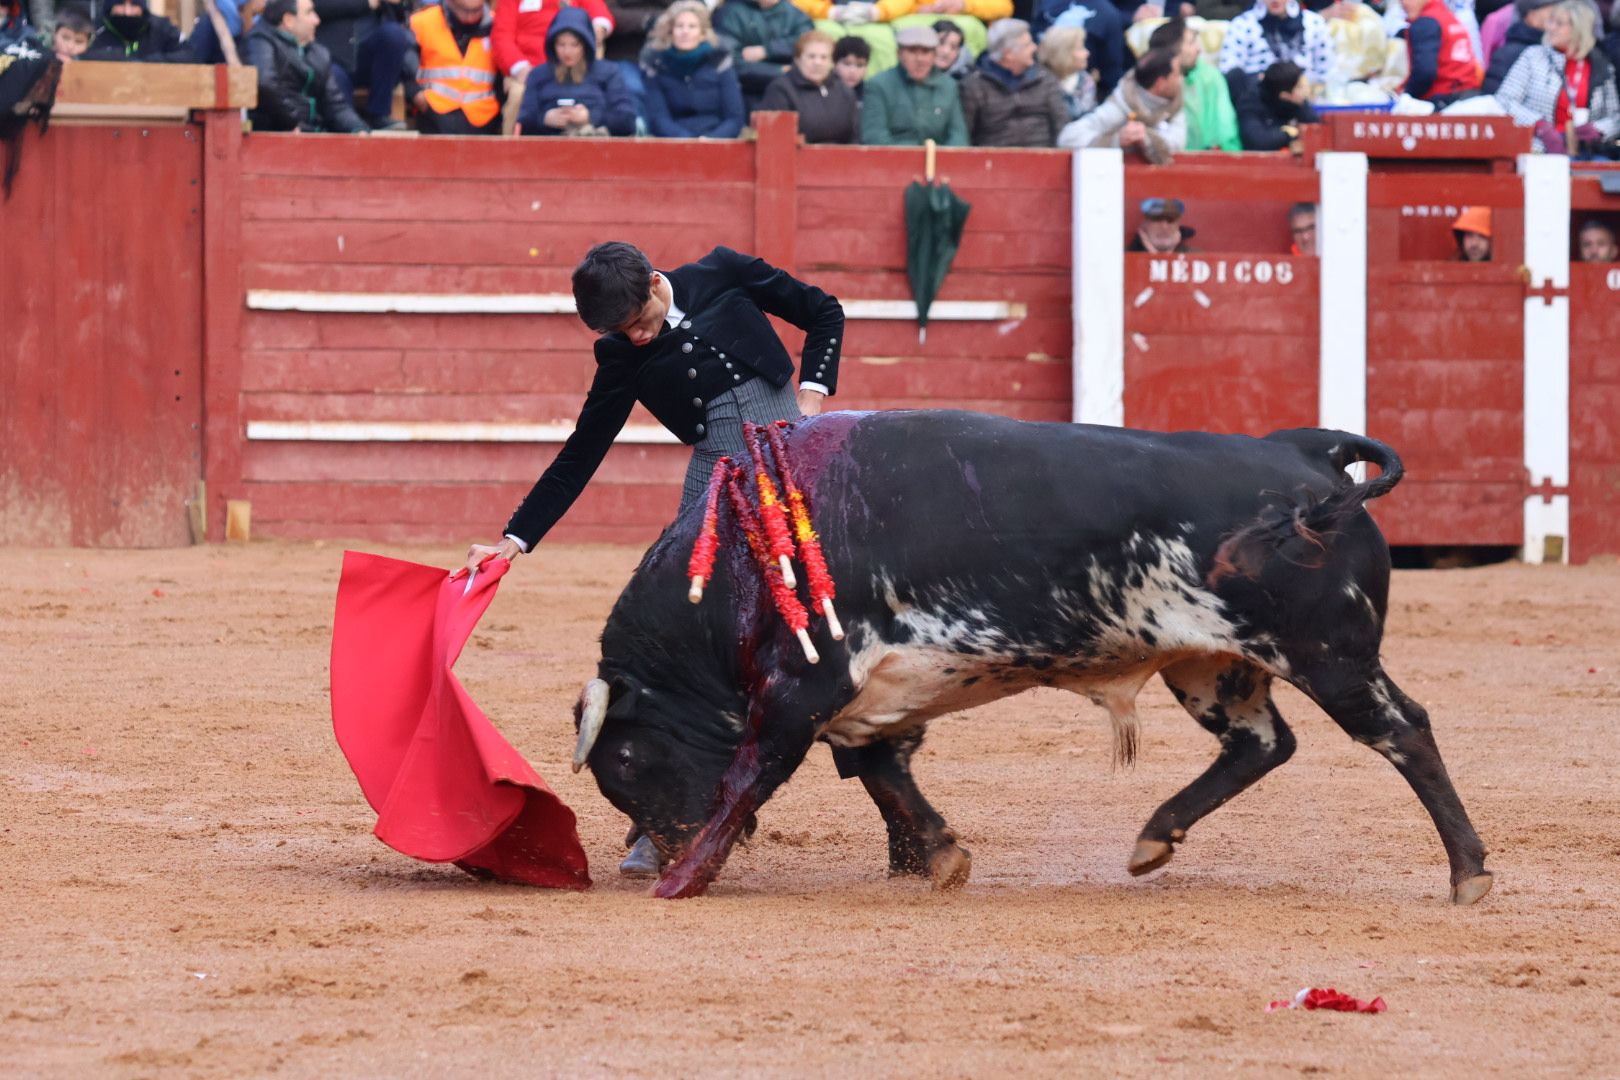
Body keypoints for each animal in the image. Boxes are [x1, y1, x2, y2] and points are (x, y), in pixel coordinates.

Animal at [570, 411, 1490, 906]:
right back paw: (1154, 837)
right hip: (1210, 664)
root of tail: (1302, 452)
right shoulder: (868, 699)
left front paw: (684, 880)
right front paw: (942, 859)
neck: (738, 563)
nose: (654, 851)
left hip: (1330, 652)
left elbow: (749, 777)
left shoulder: (802, 688)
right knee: (1262, 742)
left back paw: (1469, 874)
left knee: (1403, 730)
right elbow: (883, 774)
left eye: (626, 759)